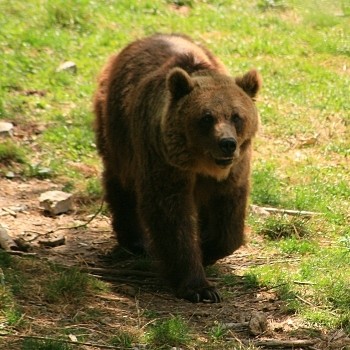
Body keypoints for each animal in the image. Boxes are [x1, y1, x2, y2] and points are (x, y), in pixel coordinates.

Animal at [94, 33, 262, 304]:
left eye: (237, 116)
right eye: (206, 117)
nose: (227, 143)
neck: (199, 163)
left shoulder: (232, 173)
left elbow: (228, 220)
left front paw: (208, 248)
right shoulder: (163, 160)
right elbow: (170, 214)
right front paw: (199, 287)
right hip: (117, 126)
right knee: (120, 180)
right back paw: (134, 240)